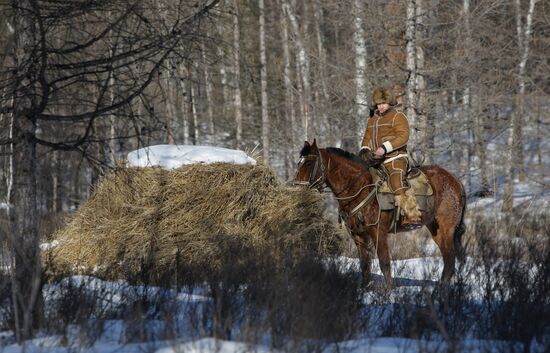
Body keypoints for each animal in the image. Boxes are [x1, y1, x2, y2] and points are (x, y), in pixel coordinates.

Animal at [296, 139, 468, 288]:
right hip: (435, 229)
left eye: (309, 163)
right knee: (448, 258)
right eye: (299, 163)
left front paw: (387, 293)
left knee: (450, 257)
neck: (360, 189)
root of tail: (455, 181)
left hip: (446, 229)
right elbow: (365, 265)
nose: (297, 188)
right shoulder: (359, 236)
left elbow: (384, 263)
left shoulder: (378, 232)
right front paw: (364, 290)